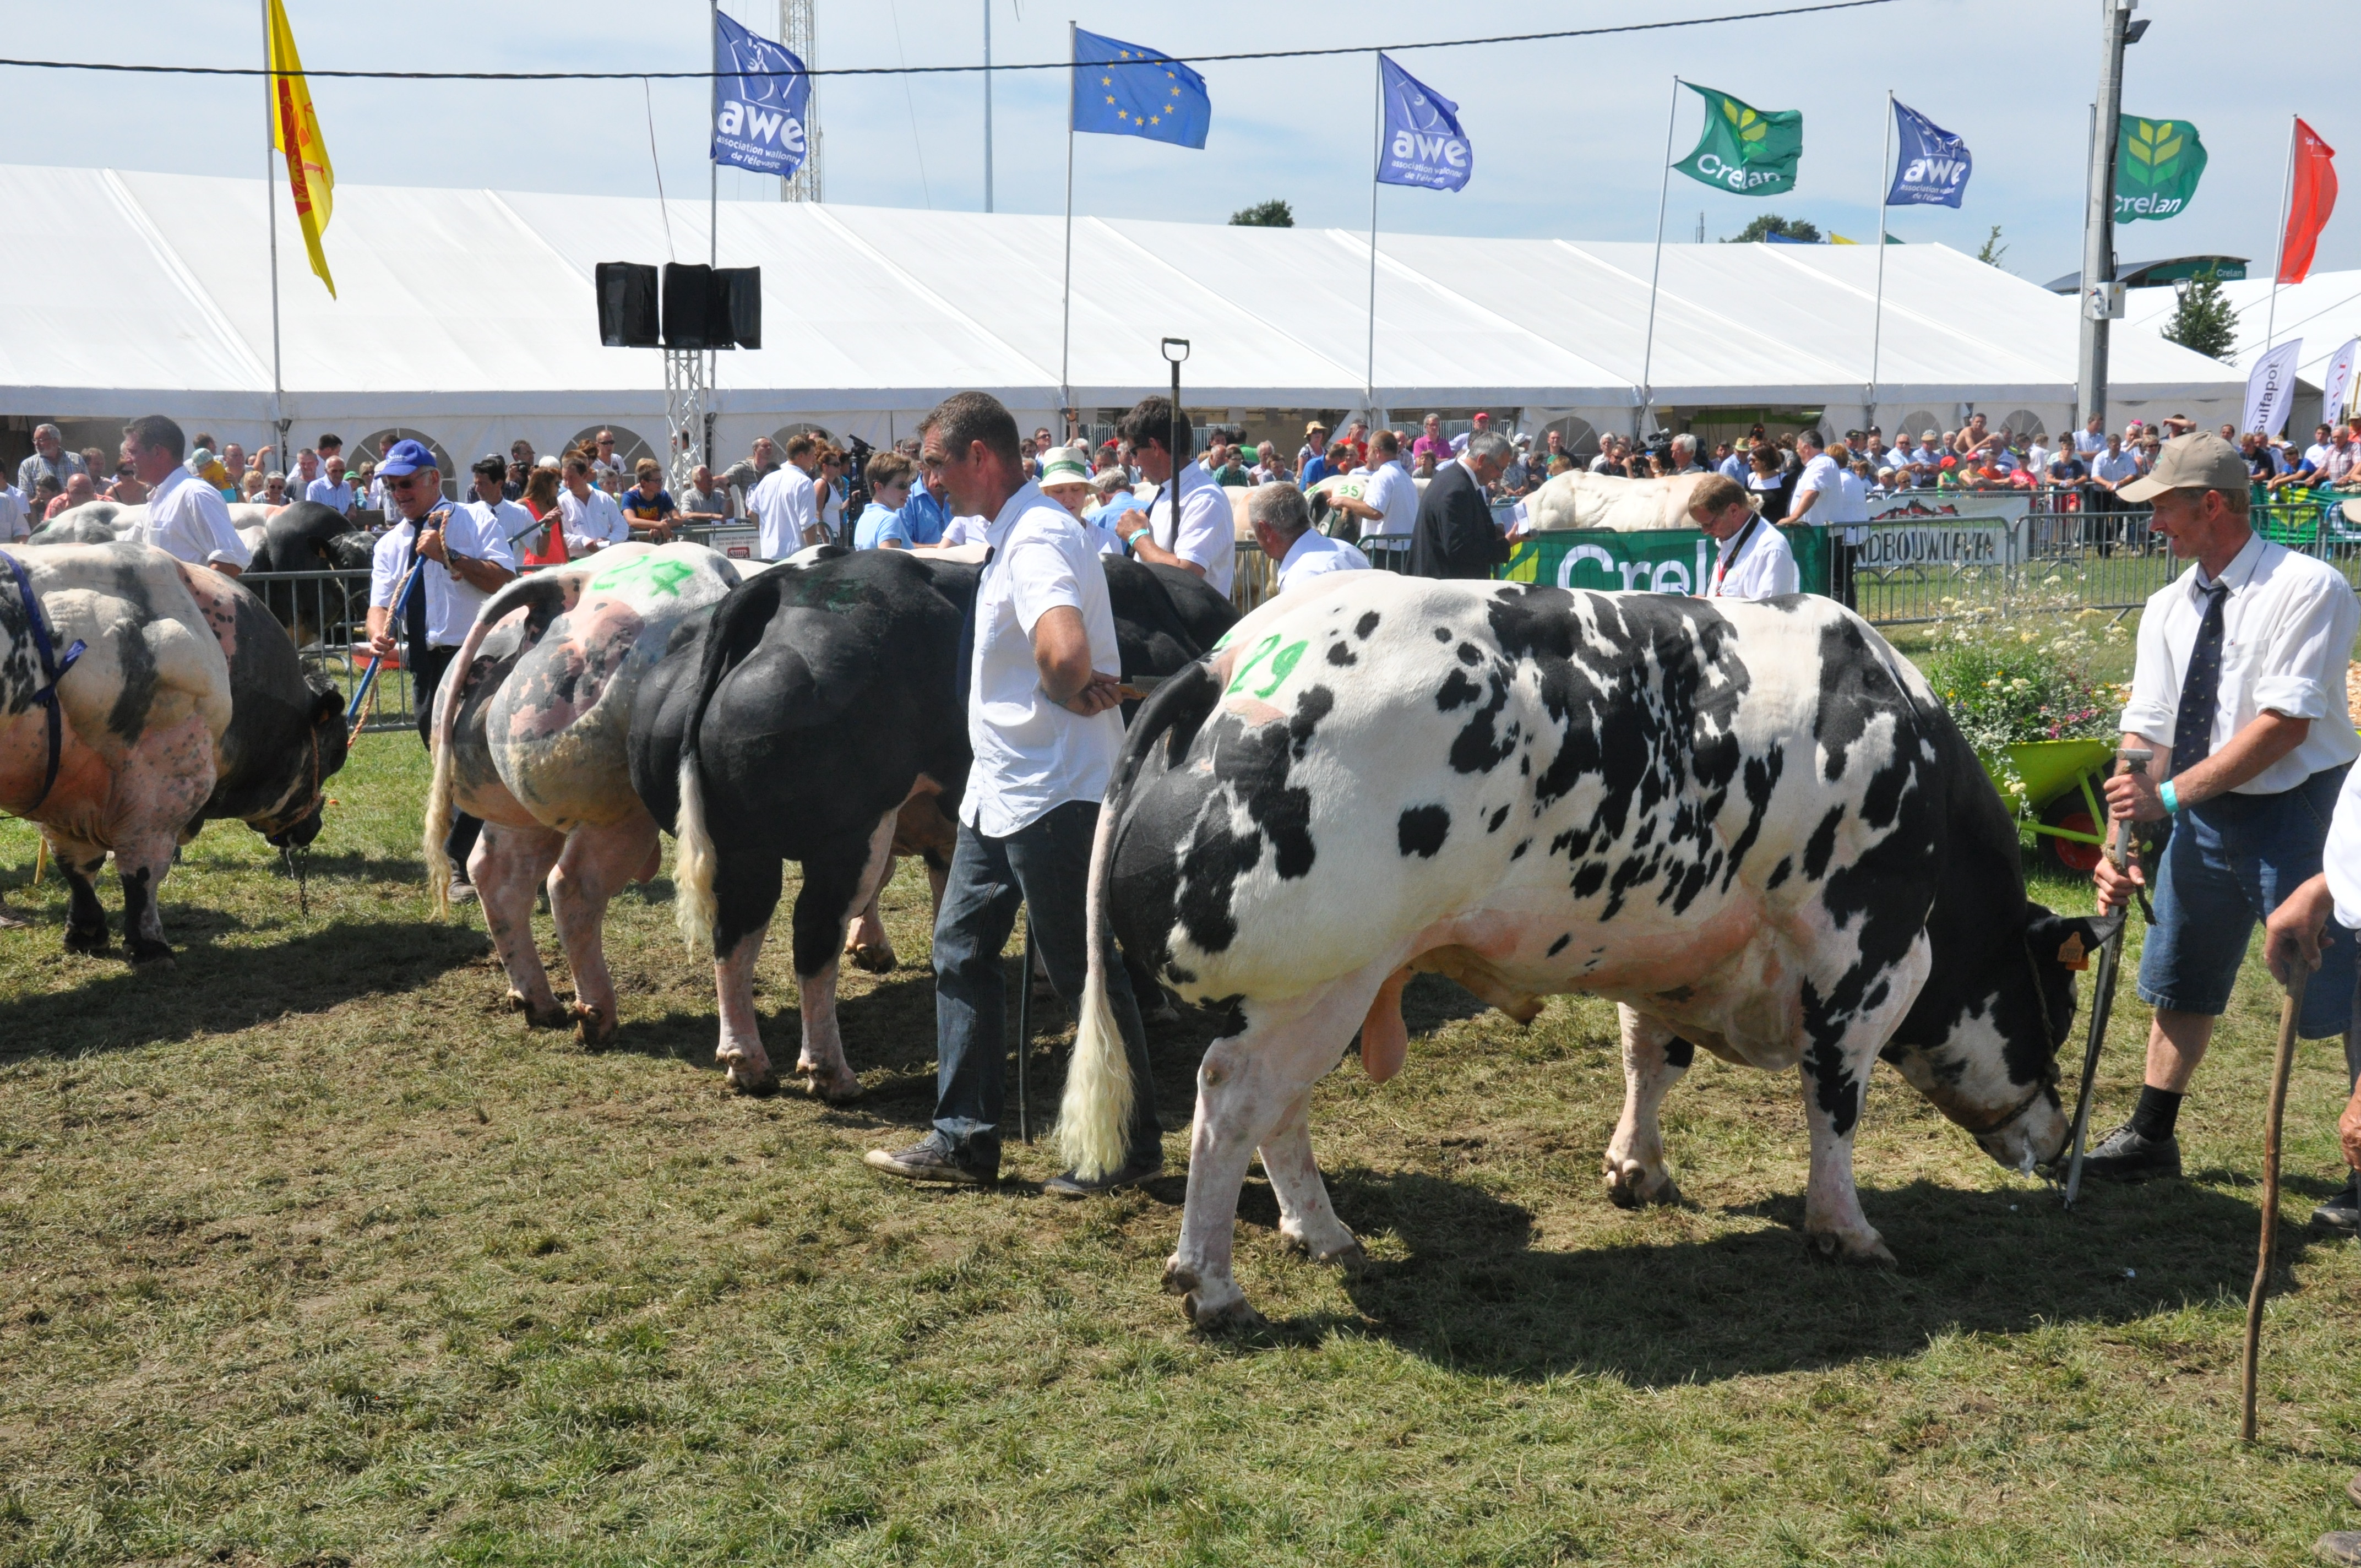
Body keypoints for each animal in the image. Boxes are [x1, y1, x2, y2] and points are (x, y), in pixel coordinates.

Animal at [1, 542, 347, 960]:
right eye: (335, 757)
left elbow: (78, 868)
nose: (314, 826)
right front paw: (149, 945)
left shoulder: (64, 792)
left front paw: (86, 933)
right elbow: (142, 872)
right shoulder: (163, 785)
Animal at [421, 542, 740, 1041]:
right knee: (572, 887)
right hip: (620, 811)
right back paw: (596, 1016)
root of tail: (568, 584)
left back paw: (537, 1002)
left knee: (498, 876)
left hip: (514, 804)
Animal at [630, 548, 1237, 1100]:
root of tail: (778, 591)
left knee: (737, 933)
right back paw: (830, 1071)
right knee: (813, 932)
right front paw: (1148, 1000)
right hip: (847, 837)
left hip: (743, 848)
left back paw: (748, 1061)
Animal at [1055, 574, 2104, 1327]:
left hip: (1325, 987)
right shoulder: (1861, 961)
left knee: (1279, 1111)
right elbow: (1832, 1108)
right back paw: (1211, 1283)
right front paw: (1844, 1229)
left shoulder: (1669, 948)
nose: (2061, 1143)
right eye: (2051, 1014)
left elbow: (1651, 1059)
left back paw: (1324, 1232)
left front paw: (1636, 1169)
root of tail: (1231, 656)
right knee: (1233, 1100)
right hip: (1319, 976)